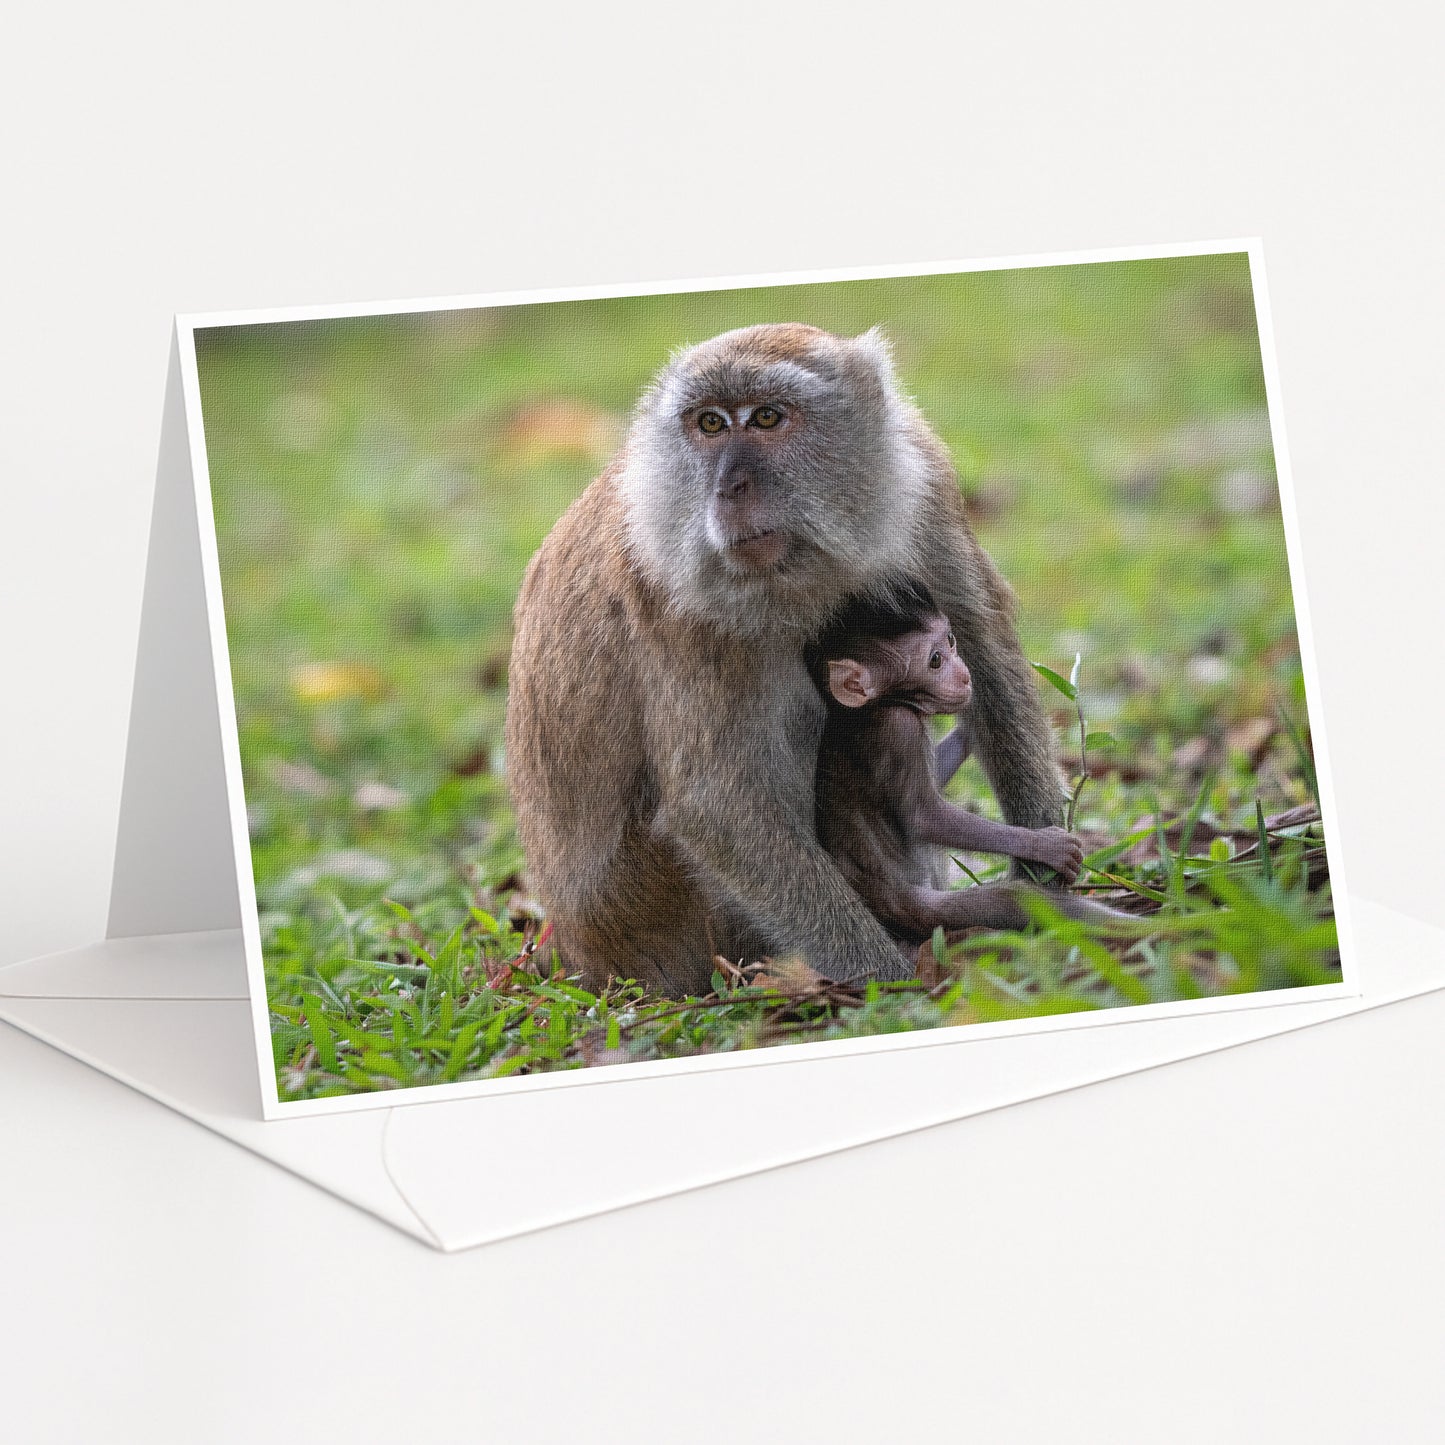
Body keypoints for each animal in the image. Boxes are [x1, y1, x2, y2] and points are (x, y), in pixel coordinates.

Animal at [505, 322, 1067, 993]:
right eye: (711, 424)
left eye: (768, 417)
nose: (729, 487)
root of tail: (573, 952)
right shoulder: (681, 599)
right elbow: (719, 806)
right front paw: (885, 979)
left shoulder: (922, 483)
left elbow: (986, 652)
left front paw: (1045, 871)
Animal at [809, 577, 1129, 944]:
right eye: (935, 661)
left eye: (950, 640)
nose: (964, 674)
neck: (872, 706)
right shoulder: (899, 728)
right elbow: (925, 816)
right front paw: (1043, 845)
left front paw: (970, 727)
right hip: (929, 910)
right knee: (1021, 901)